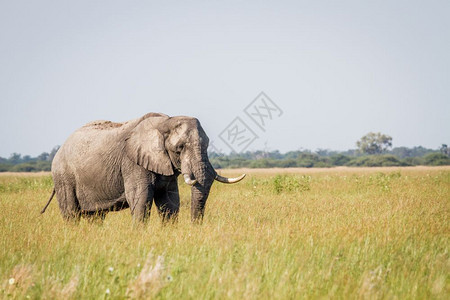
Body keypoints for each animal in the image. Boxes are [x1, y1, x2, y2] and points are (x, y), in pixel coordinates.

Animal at [41, 112, 246, 223]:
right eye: (179, 148)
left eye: (208, 145)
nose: (195, 227)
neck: (165, 122)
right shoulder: (132, 163)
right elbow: (141, 199)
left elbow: (170, 202)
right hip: (63, 177)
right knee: (71, 214)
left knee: (95, 217)